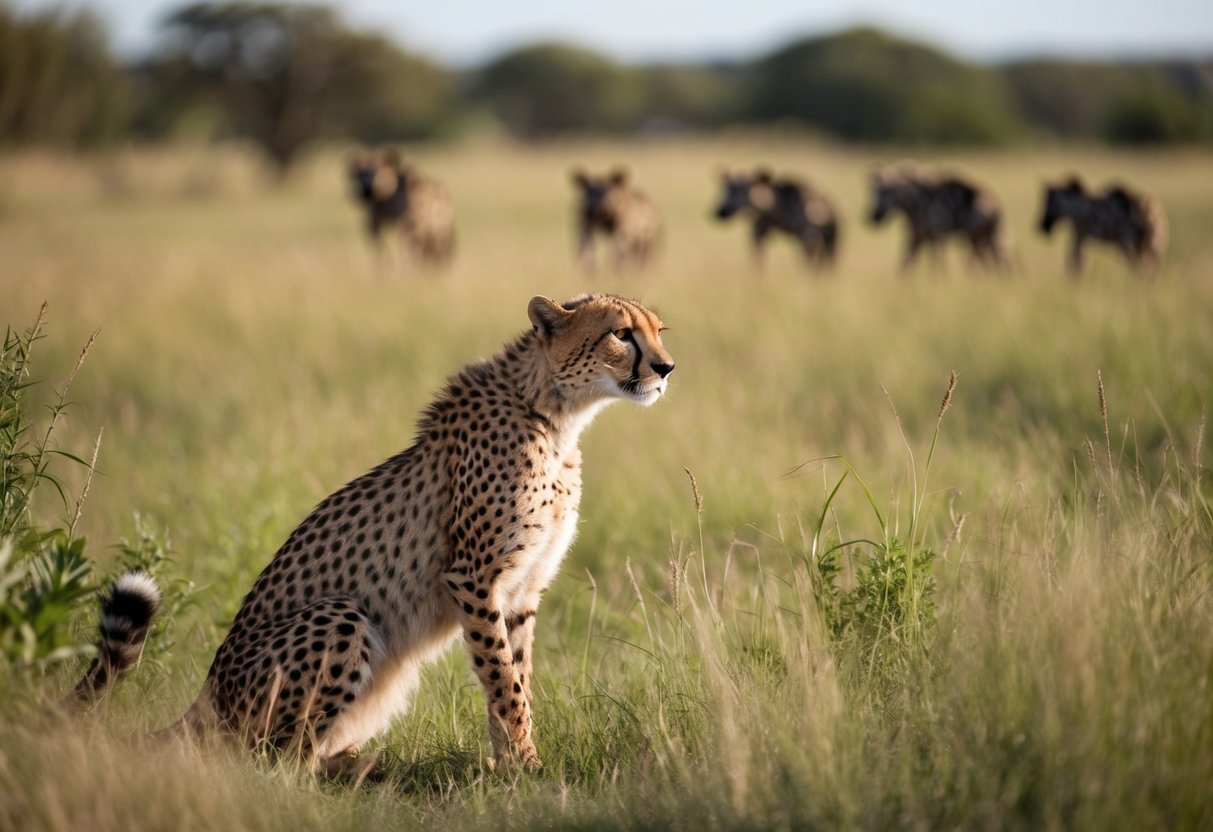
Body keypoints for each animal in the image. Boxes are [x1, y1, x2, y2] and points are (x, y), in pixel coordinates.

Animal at [74, 293, 675, 776]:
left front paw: (509, 762)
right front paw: (526, 766)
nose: (667, 367)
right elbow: (503, 679)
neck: (554, 413)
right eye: (621, 333)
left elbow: (515, 675)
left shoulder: (522, 590)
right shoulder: (473, 577)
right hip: (340, 617)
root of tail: (205, 697)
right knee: (270, 763)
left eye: (658, 330)